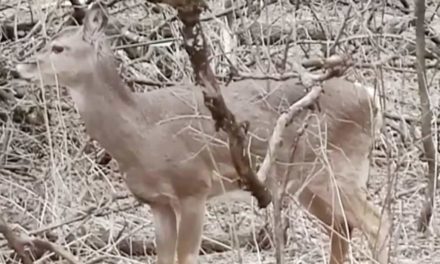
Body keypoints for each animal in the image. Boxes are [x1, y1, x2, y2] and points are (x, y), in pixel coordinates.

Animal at [15, 3, 390, 264]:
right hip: (306, 183)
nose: (20, 66)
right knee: (342, 228)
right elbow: (164, 259)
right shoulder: (158, 203)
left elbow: (186, 257)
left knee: (377, 224)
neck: (141, 133)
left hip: (339, 167)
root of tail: (369, 95)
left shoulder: (194, 186)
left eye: (59, 48)